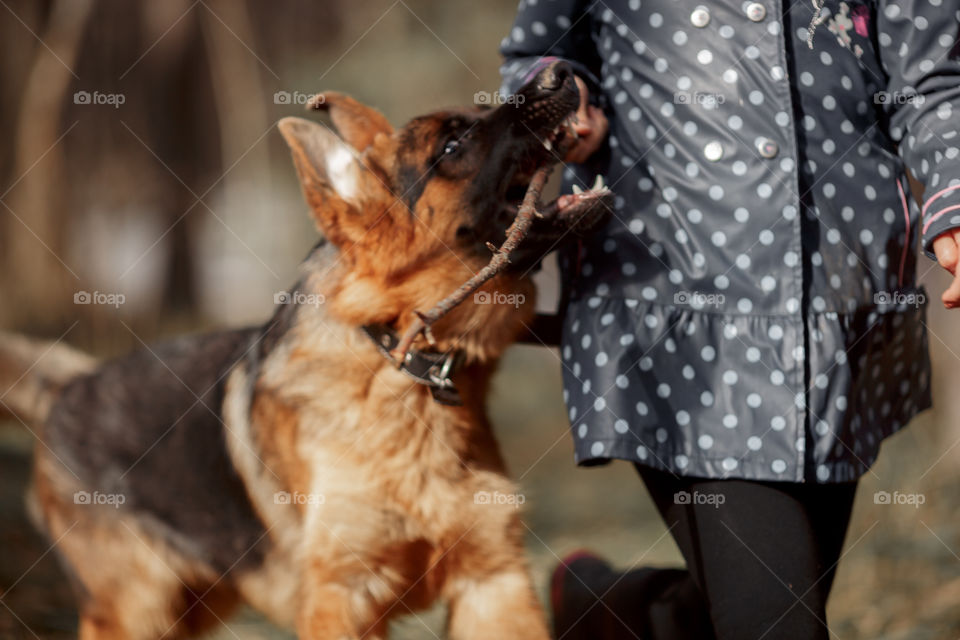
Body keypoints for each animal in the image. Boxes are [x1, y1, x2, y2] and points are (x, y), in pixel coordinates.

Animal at [1, 61, 608, 640]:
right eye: (453, 145)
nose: (560, 71)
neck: (399, 359)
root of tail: (69, 385)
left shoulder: (494, 583)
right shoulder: (343, 598)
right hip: (137, 613)